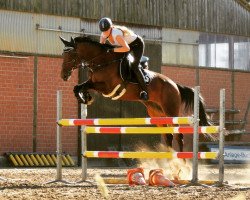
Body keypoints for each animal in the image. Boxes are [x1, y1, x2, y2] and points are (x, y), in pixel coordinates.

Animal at [58, 35, 213, 152]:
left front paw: (86, 97)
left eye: (70, 54)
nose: (63, 75)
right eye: (63, 54)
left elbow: (85, 86)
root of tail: (175, 85)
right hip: (156, 113)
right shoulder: (94, 82)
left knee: (178, 136)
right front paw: (85, 98)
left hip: (171, 111)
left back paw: (182, 165)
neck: (102, 61)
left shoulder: (107, 87)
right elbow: (78, 87)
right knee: (168, 136)